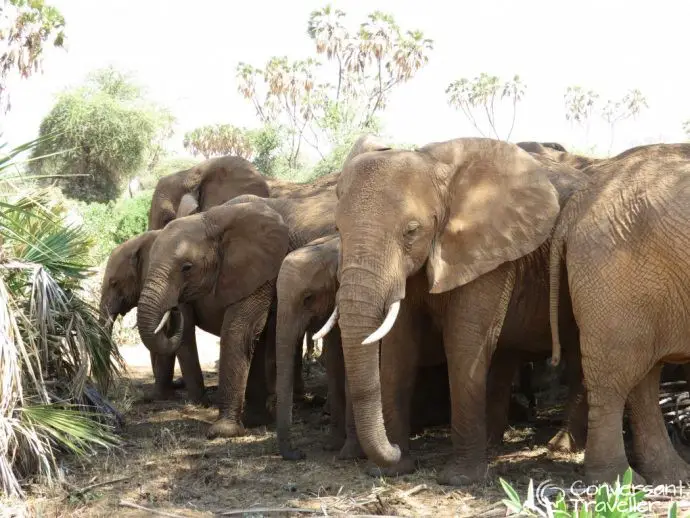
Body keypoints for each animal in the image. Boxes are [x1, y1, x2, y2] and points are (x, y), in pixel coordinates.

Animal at [136, 186, 338, 438]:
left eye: (187, 268)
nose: (174, 308)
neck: (212, 219)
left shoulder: (263, 269)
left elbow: (239, 330)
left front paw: (223, 431)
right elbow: (256, 335)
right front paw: (256, 421)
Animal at [314, 134, 588, 488]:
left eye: (411, 231)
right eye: (337, 229)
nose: (393, 450)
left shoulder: (490, 251)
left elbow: (463, 343)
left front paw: (460, 479)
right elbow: (399, 348)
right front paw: (393, 469)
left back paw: (562, 447)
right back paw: (495, 443)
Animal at [552, 143, 690, 488]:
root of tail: (578, 202)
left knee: (644, 377)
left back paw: (671, 476)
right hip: (613, 277)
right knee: (615, 377)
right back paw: (617, 482)